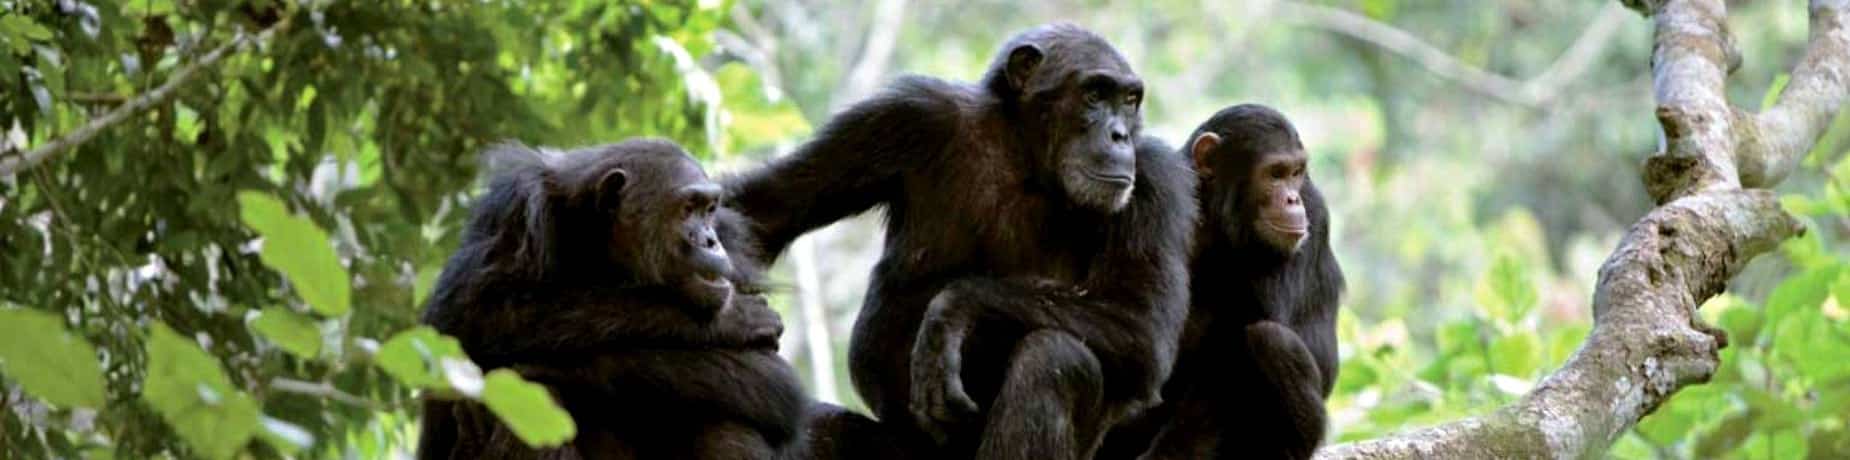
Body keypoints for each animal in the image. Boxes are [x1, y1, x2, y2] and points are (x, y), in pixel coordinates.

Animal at [423, 141, 806, 460]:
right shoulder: (516, 213)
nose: (710, 241)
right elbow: (472, 318)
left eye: (709, 208)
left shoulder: (733, 240)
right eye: (687, 209)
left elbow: (769, 375)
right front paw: (734, 318)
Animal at [721, 23, 1198, 458]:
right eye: (1095, 94)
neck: (1027, 158)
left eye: (1129, 100)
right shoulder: (903, 116)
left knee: (1056, 358)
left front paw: (952, 310)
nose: (1119, 134)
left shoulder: (1156, 181)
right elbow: (765, 209)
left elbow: (1141, 324)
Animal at [1095, 104, 1346, 460]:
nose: (1292, 200)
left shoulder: (1312, 207)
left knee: (1271, 339)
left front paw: (1170, 454)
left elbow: (1231, 353)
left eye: (1296, 172)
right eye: (1276, 173)